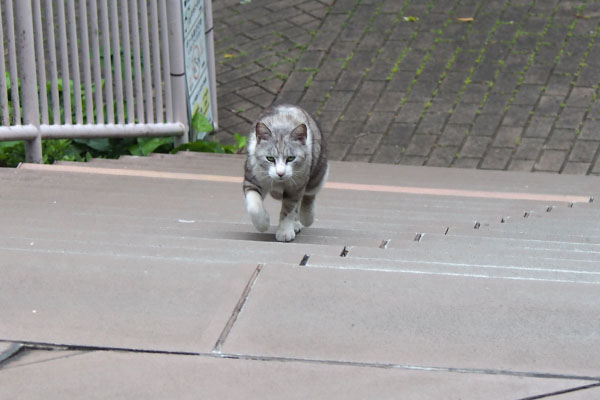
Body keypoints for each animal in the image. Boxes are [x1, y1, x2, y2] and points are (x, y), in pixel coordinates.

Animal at [243, 103, 328, 241]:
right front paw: (263, 224)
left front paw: (284, 232)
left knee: (309, 194)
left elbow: (289, 210)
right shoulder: (252, 177)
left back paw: (306, 218)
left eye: (291, 158)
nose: (280, 173)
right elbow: (254, 206)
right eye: (270, 158)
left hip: (318, 171)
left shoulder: (295, 187)